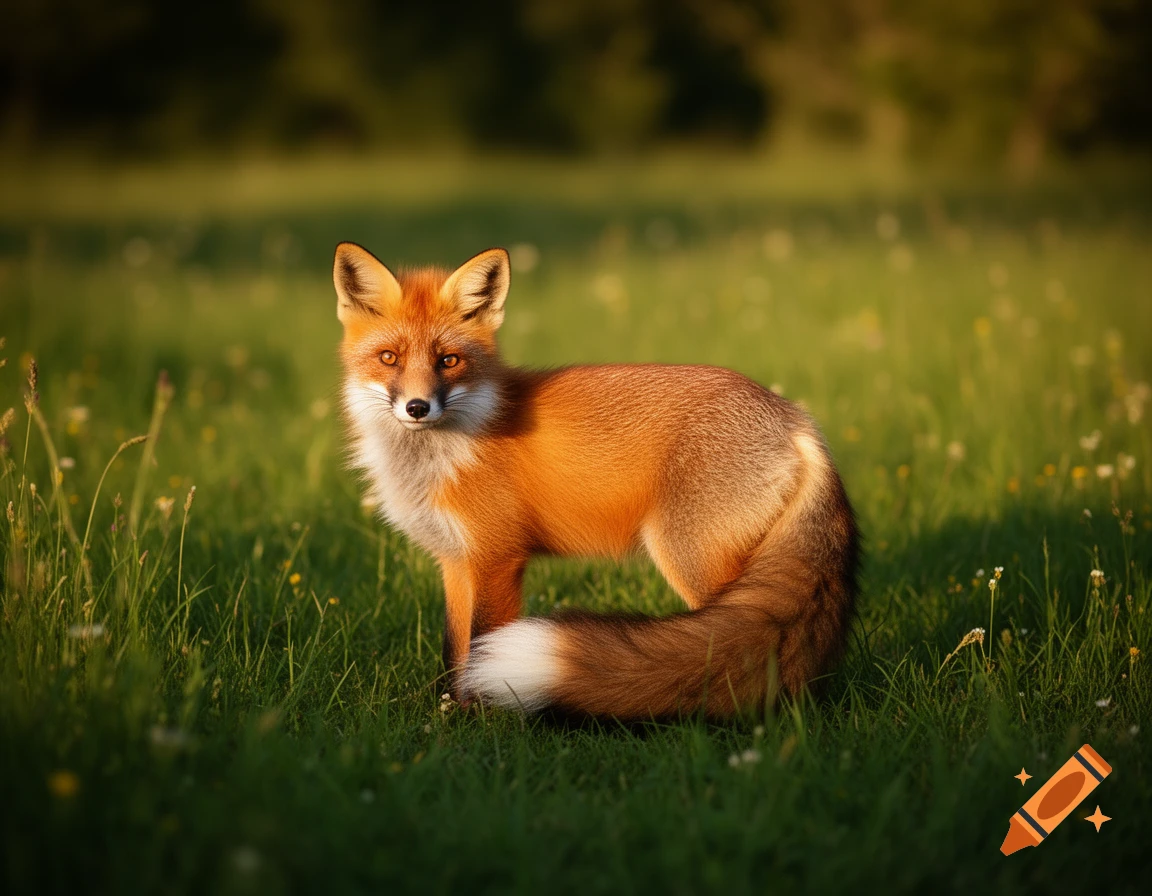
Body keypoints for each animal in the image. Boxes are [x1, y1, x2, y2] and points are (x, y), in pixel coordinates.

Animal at [334, 242, 859, 719]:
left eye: (448, 360)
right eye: (389, 357)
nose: (417, 407)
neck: (441, 455)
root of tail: (795, 419)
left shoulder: (497, 558)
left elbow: (481, 642)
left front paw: (478, 717)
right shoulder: (456, 559)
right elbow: (453, 648)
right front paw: (446, 709)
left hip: (697, 562)